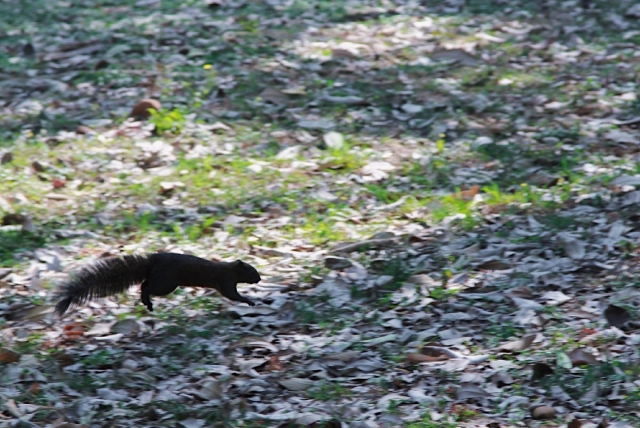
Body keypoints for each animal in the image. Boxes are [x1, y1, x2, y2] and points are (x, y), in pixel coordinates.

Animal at [53, 252, 260, 316]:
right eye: (251, 270)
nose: (259, 279)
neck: (230, 268)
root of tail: (153, 260)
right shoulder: (225, 281)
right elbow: (232, 294)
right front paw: (250, 301)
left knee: (144, 284)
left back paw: (147, 303)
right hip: (167, 283)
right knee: (146, 286)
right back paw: (148, 302)